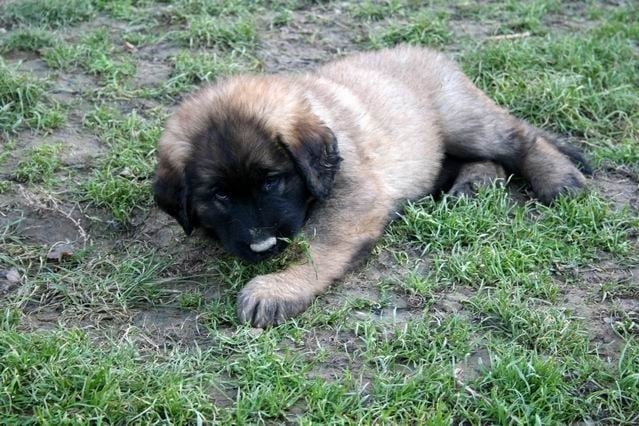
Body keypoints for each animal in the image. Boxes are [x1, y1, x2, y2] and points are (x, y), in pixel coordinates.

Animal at [154, 45, 589, 327]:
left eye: (272, 181)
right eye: (220, 195)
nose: (262, 245)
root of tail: (428, 53)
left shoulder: (354, 196)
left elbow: (319, 247)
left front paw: (278, 288)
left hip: (460, 120)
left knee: (517, 138)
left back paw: (559, 177)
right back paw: (476, 183)